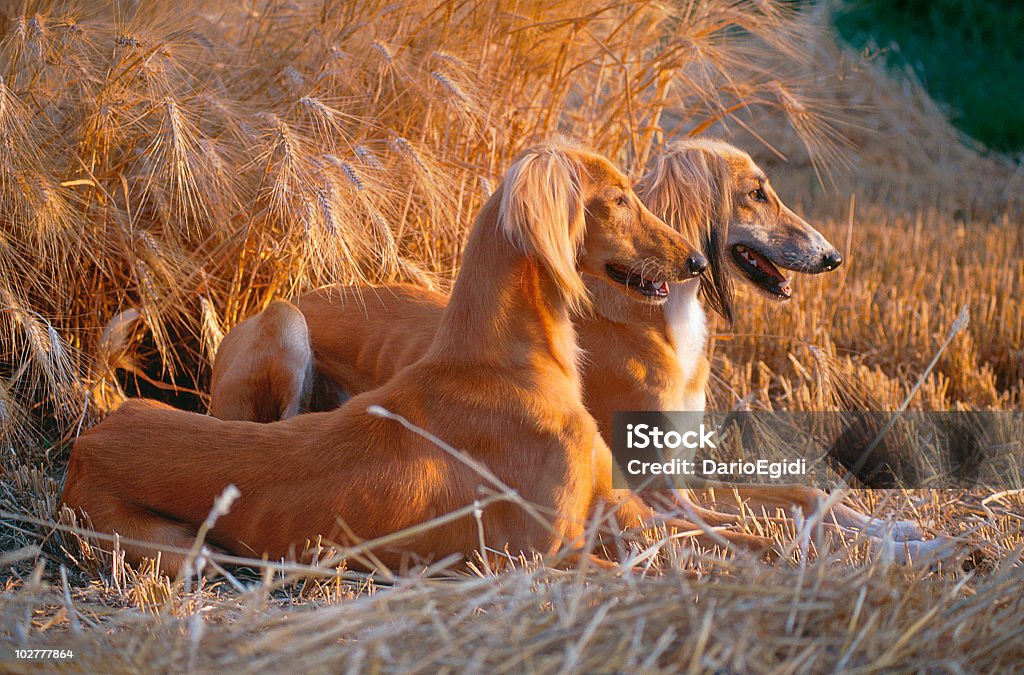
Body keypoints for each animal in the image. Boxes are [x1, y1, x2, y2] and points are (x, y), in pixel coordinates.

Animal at [59, 141, 774, 577]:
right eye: (620, 198)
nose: (698, 261)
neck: (510, 363)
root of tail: (96, 431)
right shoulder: (542, 559)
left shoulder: (629, 515)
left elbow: (734, 538)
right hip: (190, 534)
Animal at [214, 138, 950, 561]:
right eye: (756, 193)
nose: (832, 256)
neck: (652, 319)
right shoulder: (652, 488)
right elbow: (769, 520)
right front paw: (894, 548)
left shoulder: (672, 475)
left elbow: (804, 492)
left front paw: (901, 532)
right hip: (287, 325)